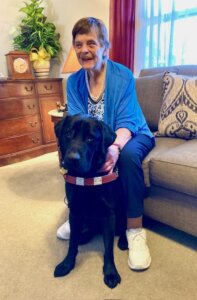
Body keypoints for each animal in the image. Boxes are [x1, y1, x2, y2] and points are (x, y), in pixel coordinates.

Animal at [53, 114, 127, 288]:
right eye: (68, 133)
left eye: (90, 138)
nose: (72, 159)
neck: (86, 177)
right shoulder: (74, 212)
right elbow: (72, 243)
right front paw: (67, 264)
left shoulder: (108, 215)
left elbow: (108, 249)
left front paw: (111, 272)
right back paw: (85, 235)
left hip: (122, 209)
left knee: (123, 227)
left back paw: (123, 241)